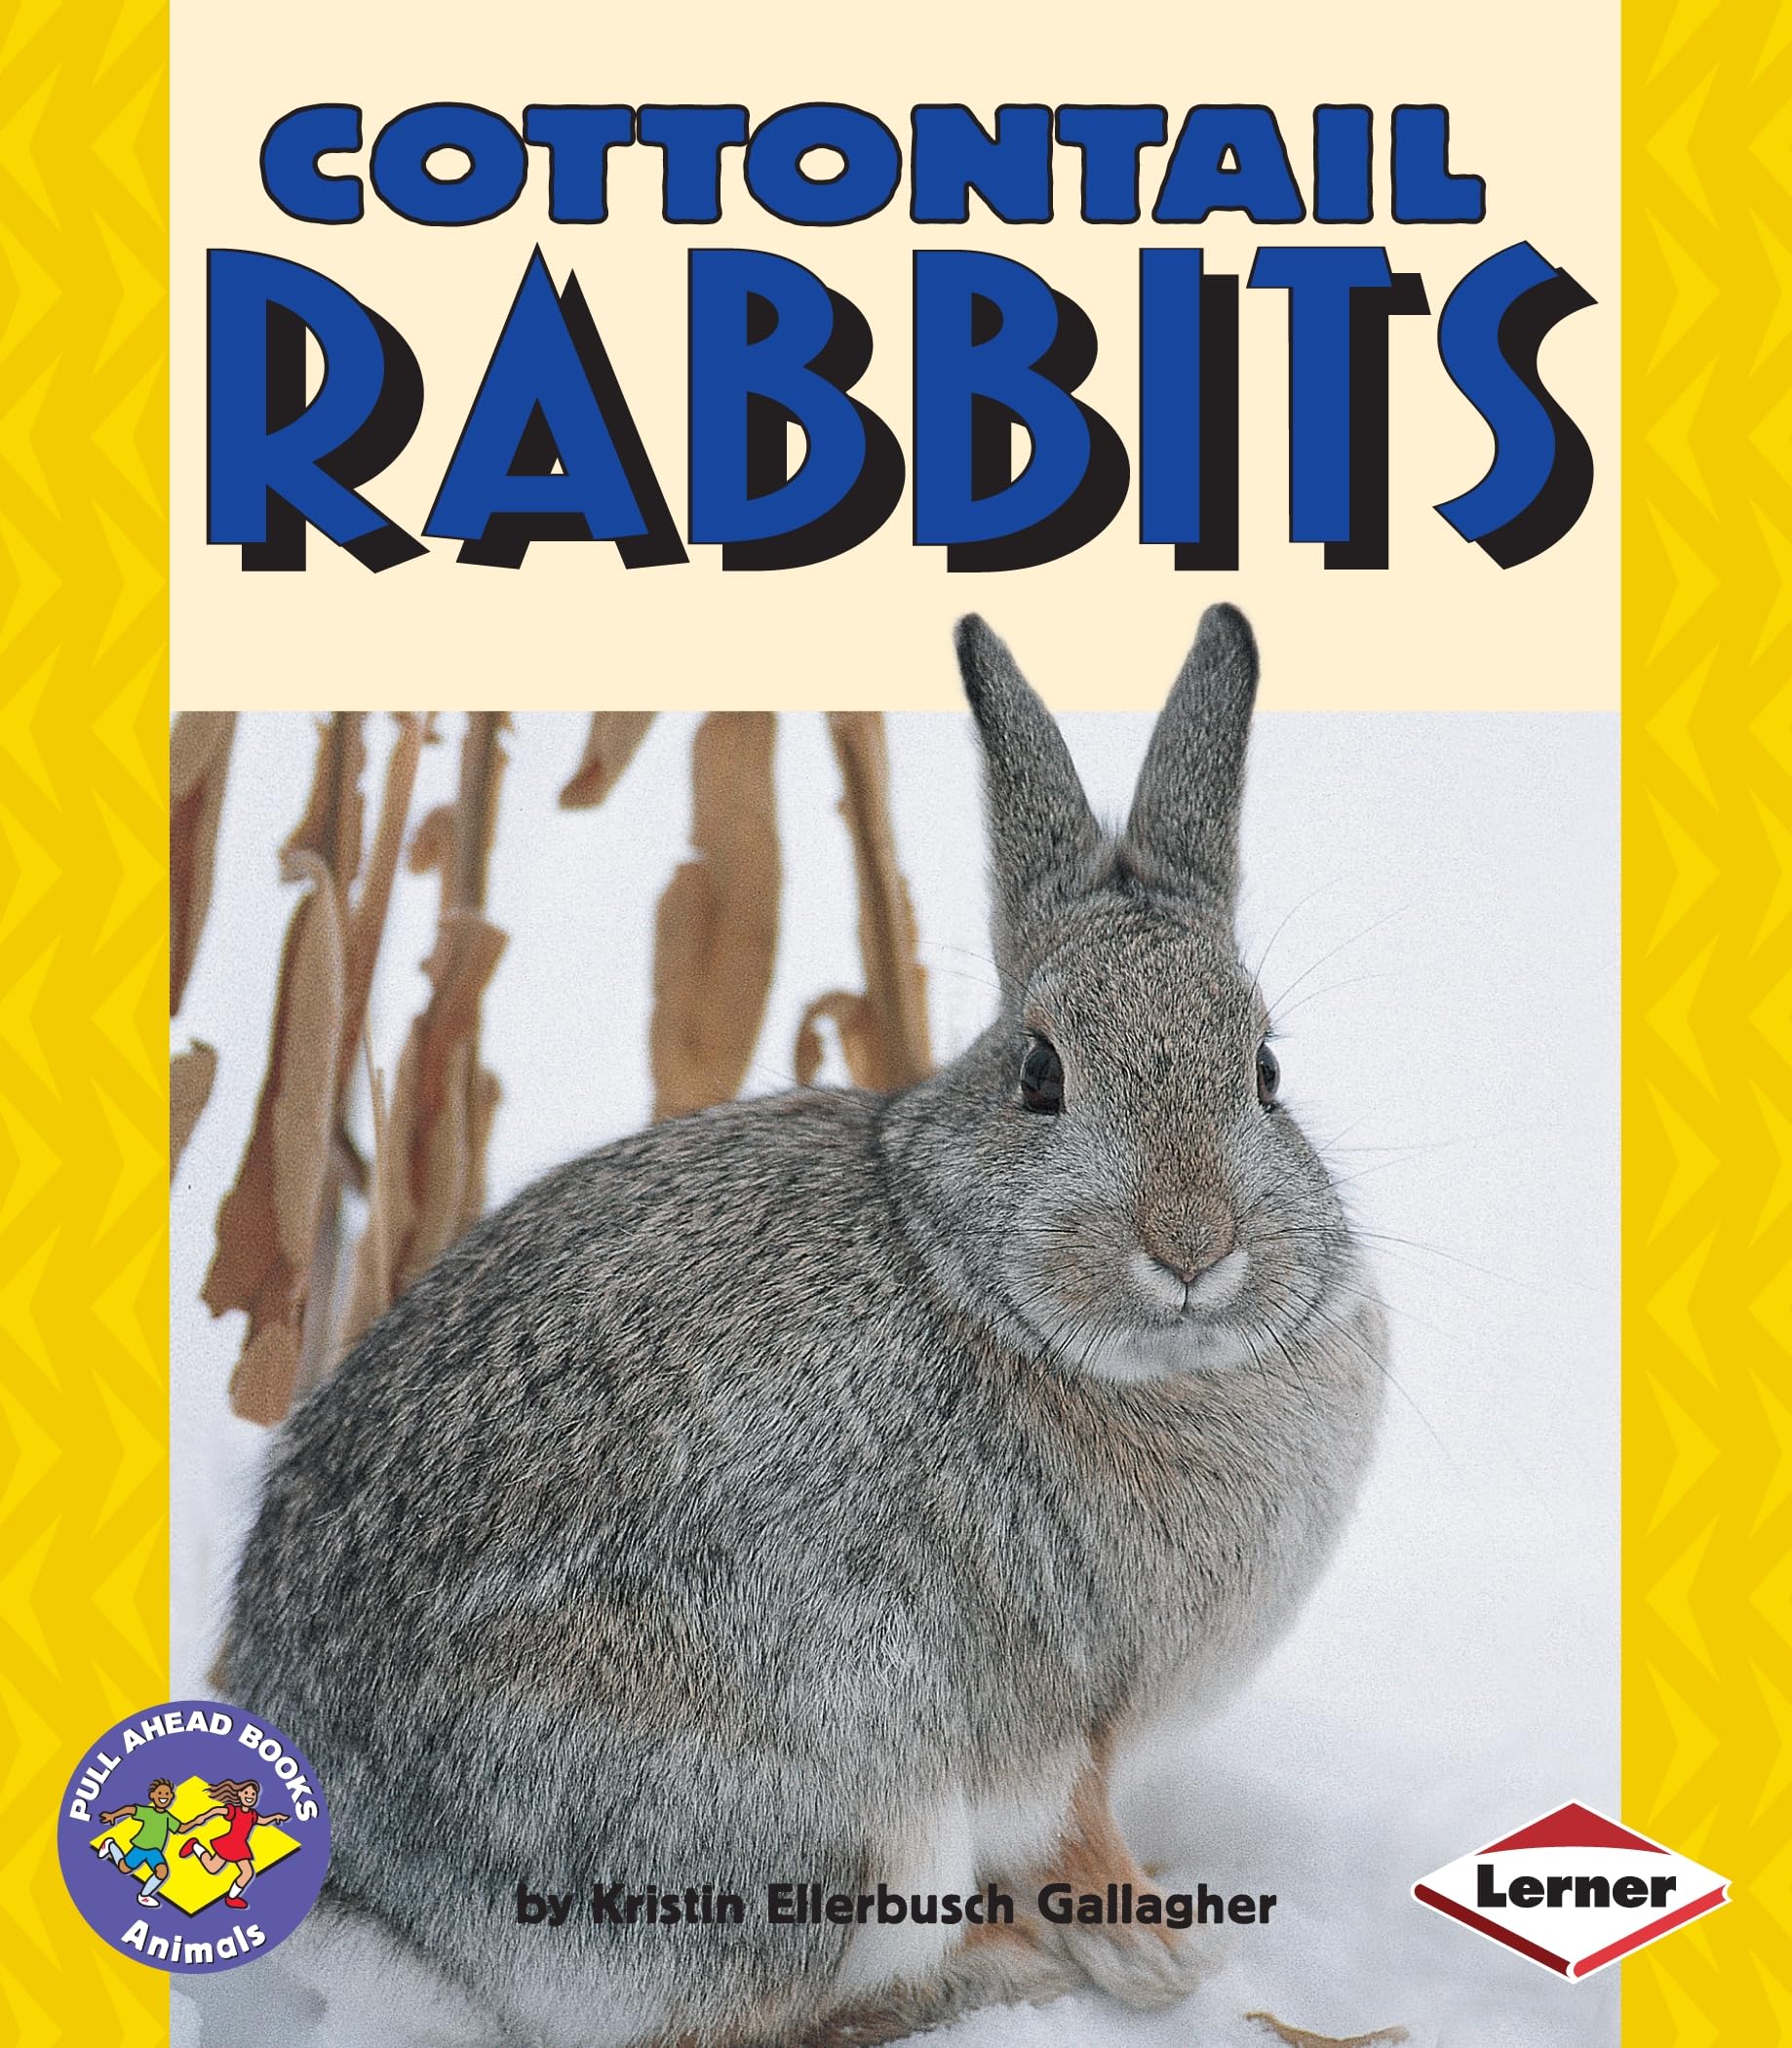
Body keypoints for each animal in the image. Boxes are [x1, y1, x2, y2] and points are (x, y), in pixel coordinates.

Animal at [219, 603, 1387, 2048]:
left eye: (1266, 1072)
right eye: (1040, 1074)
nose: (1191, 1246)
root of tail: (396, 1928)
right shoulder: (1064, 1712)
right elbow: (1074, 1834)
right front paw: (1162, 1960)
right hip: (842, 1818)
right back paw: (992, 1968)